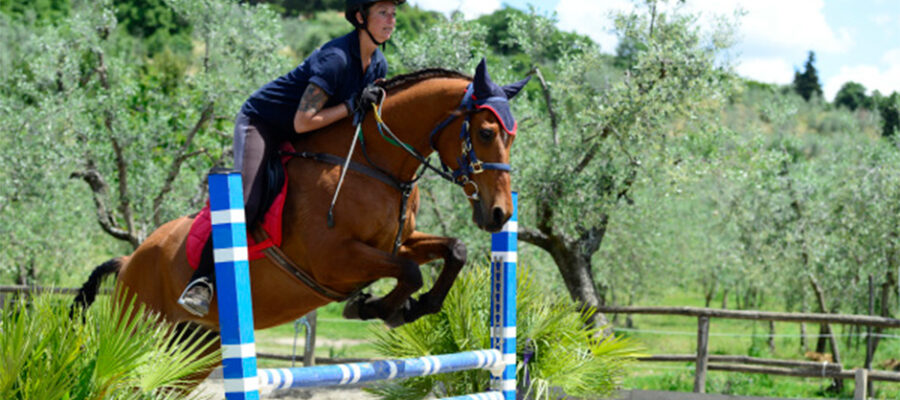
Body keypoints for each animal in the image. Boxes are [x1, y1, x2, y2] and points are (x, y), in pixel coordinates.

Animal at [74, 57, 532, 374]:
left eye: (512, 138)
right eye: (486, 133)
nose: (499, 214)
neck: (373, 163)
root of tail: (130, 259)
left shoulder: (398, 242)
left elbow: (453, 251)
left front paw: (407, 308)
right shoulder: (333, 258)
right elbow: (410, 271)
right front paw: (375, 307)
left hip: (195, 346)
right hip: (140, 329)